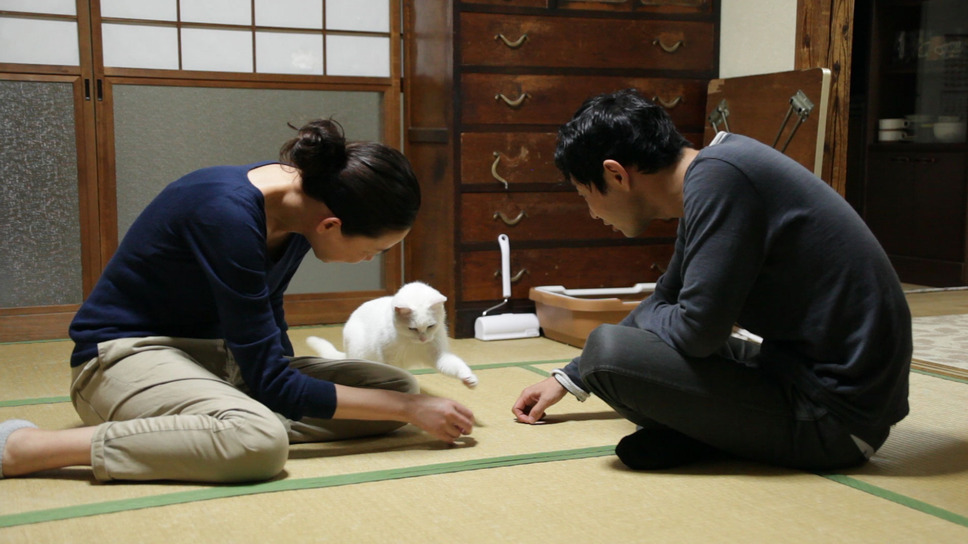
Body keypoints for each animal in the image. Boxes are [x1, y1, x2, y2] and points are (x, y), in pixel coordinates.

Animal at [308, 280, 478, 386]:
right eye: (412, 329)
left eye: (431, 326)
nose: (423, 339)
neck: (412, 344)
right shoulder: (391, 359)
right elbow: (401, 376)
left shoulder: (439, 355)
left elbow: (454, 365)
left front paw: (469, 378)